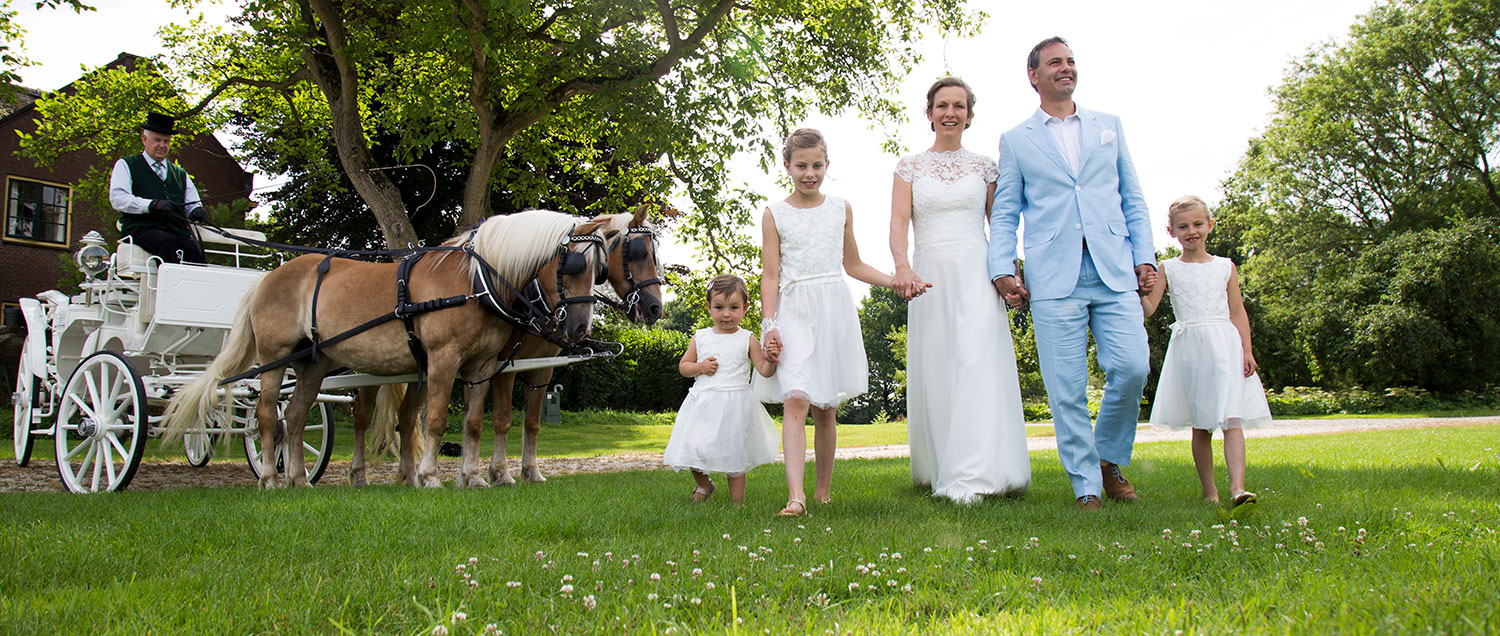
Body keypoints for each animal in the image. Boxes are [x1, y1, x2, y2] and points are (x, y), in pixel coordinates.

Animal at [162, 208, 609, 486]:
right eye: (574, 266)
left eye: (600, 270)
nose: (580, 327)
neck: (474, 280)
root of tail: (266, 277)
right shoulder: (443, 360)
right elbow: (434, 421)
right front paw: (430, 476)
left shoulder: (481, 366)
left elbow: (473, 423)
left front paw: (473, 476)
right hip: (275, 360)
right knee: (267, 416)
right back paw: (272, 478)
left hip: (312, 365)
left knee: (297, 415)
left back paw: (299, 479)